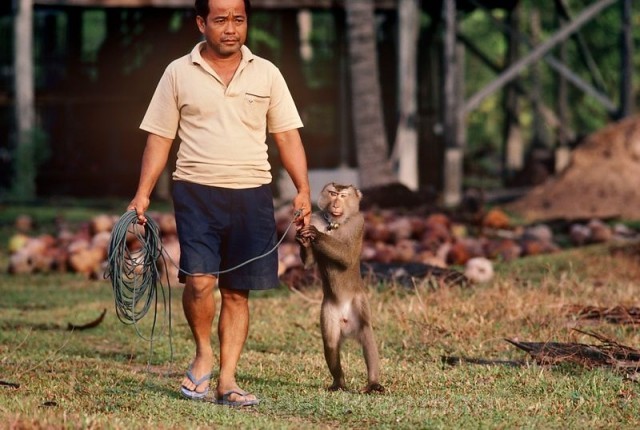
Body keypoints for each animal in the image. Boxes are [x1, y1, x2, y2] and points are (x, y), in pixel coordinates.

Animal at [296, 181, 384, 394]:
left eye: (343, 196)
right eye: (332, 193)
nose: (336, 204)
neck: (334, 224)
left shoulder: (358, 223)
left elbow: (347, 256)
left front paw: (315, 234)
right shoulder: (317, 217)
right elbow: (309, 263)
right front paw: (303, 238)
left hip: (359, 303)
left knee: (367, 335)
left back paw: (373, 383)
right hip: (329, 312)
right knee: (330, 343)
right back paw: (339, 383)